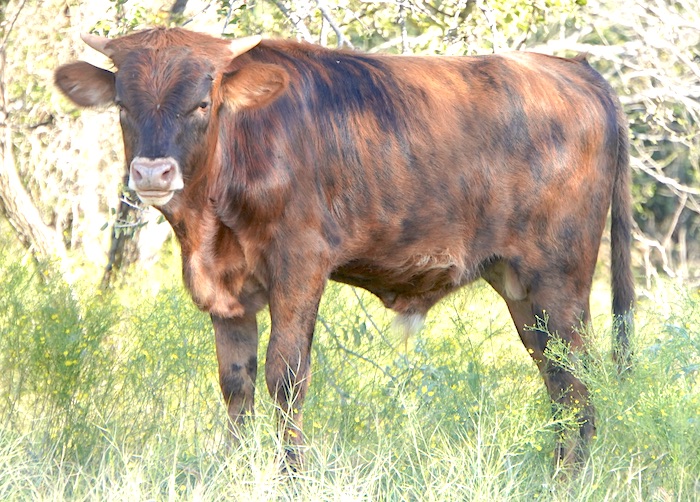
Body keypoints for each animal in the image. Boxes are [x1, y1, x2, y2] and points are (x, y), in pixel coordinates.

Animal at [54, 28, 636, 470]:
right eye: (123, 105)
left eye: (202, 103)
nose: (152, 172)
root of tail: (574, 69)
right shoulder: (227, 291)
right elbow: (236, 382)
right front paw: (233, 472)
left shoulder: (300, 265)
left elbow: (286, 376)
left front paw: (291, 474)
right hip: (520, 285)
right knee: (557, 376)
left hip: (560, 279)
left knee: (578, 378)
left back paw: (570, 478)